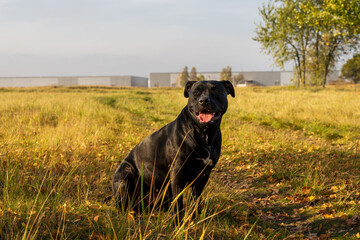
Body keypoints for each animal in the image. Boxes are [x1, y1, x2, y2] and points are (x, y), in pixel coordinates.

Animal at [112, 80, 236, 216]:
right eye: (195, 92)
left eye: (216, 90)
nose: (203, 100)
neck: (204, 134)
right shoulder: (177, 173)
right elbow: (178, 203)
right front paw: (178, 219)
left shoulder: (204, 175)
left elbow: (195, 201)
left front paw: (194, 217)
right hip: (125, 179)